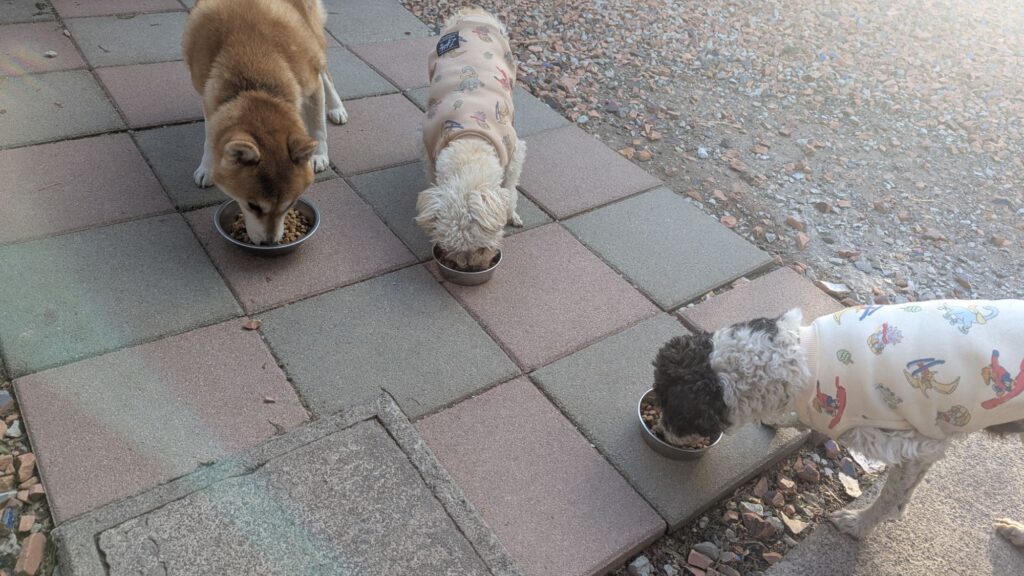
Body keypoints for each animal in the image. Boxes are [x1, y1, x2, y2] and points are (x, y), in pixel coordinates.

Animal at [182, 0, 347, 245]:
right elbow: (211, 136)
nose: (269, 243)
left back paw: (336, 108)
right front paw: (207, 167)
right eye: (253, 206)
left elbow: (317, 126)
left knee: (326, 74)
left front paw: (318, 155)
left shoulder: (311, 83)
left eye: (290, 204)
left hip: (314, 40)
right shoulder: (209, 95)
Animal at [415, 8, 526, 271]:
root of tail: (473, 11)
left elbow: (510, 187)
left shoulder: (515, 151)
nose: (471, 269)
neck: (470, 142)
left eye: (482, 247)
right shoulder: (428, 149)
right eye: (451, 248)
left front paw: (511, 214)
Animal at [651, 300, 1024, 544]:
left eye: (670, 405)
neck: (800, 356)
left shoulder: (916, 444)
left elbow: (891, 496)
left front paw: (860, 524)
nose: (660, 431)